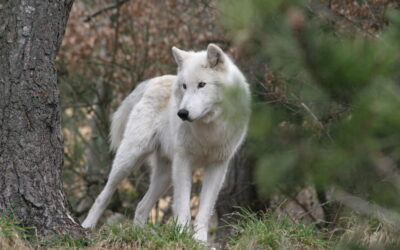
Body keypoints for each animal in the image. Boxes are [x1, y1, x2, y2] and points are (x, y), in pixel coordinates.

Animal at [82, 44, 250, 241]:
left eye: (202, 84)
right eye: (184, 86)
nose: (182, 113)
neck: (209, 129)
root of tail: (154, 80)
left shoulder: (218, 166)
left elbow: (204, 211)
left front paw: (199, 241)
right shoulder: (184, 161)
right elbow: (183, 207)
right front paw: (183, 236)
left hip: (166, 175)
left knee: (141, 206)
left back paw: (141, 235)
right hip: (130, 160)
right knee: (103, 196)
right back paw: (87, 227)